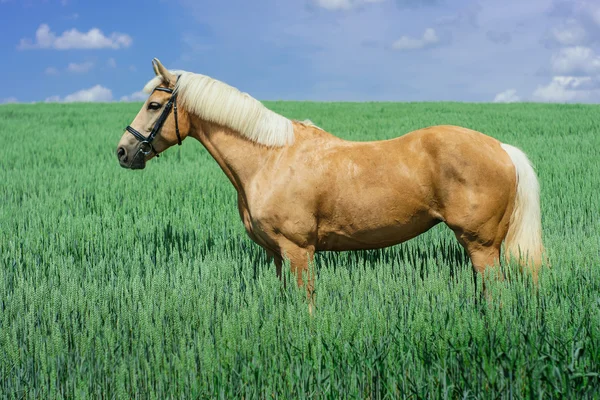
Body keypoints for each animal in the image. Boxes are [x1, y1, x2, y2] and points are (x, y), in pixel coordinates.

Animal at [116, 57, 544, 304]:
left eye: (154, 105)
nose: (123, 151)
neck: (270, 158)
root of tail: (501, 148)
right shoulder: (278, 255)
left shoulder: (299, 251)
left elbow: (305, 304)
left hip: (482, 246)